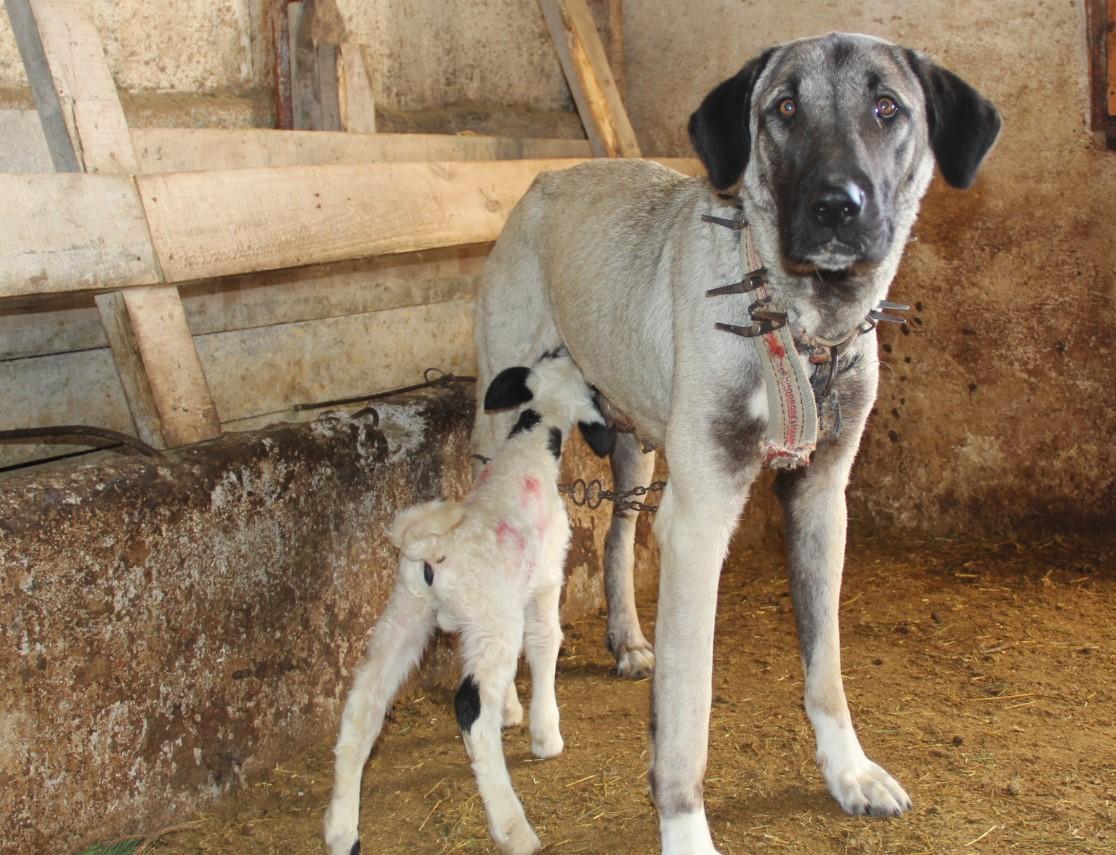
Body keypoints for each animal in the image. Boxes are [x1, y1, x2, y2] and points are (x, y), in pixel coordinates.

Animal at [323, 354, 620, 855]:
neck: (529, 447)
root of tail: (430, 545)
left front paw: (512, 711)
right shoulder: (545, 583)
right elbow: (545, 645)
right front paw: (545, 734)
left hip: (407, 615)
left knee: (363, 705)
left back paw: (342, 831)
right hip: (490, 618)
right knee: (469, 706)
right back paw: (513, 826)